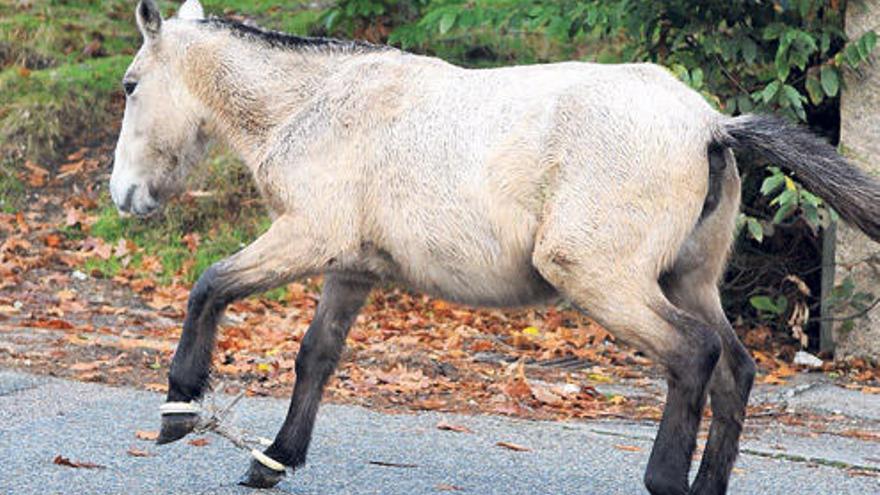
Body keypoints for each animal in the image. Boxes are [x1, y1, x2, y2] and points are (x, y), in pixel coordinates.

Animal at [111, 1, 880, 494]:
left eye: (129, 85)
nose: (123, 195)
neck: (317, 103)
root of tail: (709, 124)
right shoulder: (350, 269)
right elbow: (316, 356)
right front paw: (274, 458)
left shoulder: (304, 237)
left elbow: (210, 284)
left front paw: (179, 407)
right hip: (687, 282)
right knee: (736, 369)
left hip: (601, 280)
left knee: (694, 354)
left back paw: (664, 480)